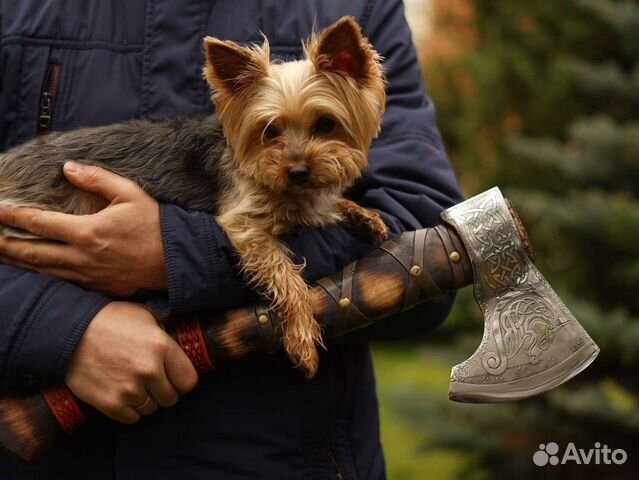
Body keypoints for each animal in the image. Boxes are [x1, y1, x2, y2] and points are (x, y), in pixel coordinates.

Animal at [0, 17, 390, 378]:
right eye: (270, 131)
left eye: (325, 124)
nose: (297, 172)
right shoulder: (243, 223)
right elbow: (285, 274)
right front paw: (302, 340)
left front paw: (363, 215)